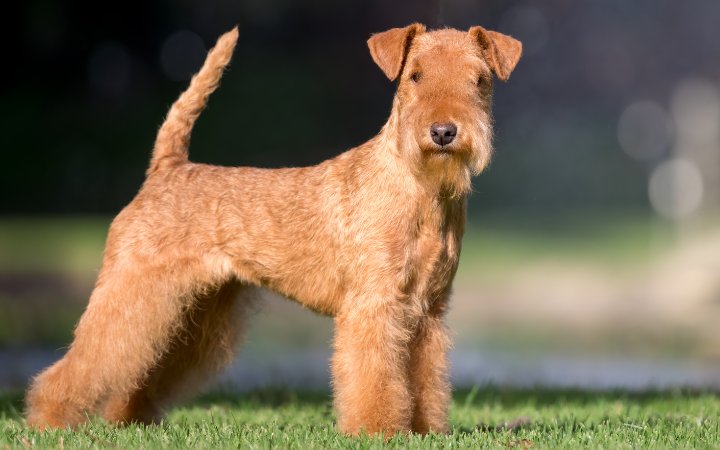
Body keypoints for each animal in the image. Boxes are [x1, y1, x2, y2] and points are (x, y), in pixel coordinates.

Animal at [25, 22, 520, 434]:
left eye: (479, 79)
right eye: (414, 76)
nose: (443, 132)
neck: (420, 187)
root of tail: (167, 168)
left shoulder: (428, 311)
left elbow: (425, 379)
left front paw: (423, 431)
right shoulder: (375, 306)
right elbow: (376, 377)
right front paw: (378, 431)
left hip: (196, 309)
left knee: (142, 371)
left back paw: (130, 420)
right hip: (134, 291)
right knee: (86, 361)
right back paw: (48, 420)